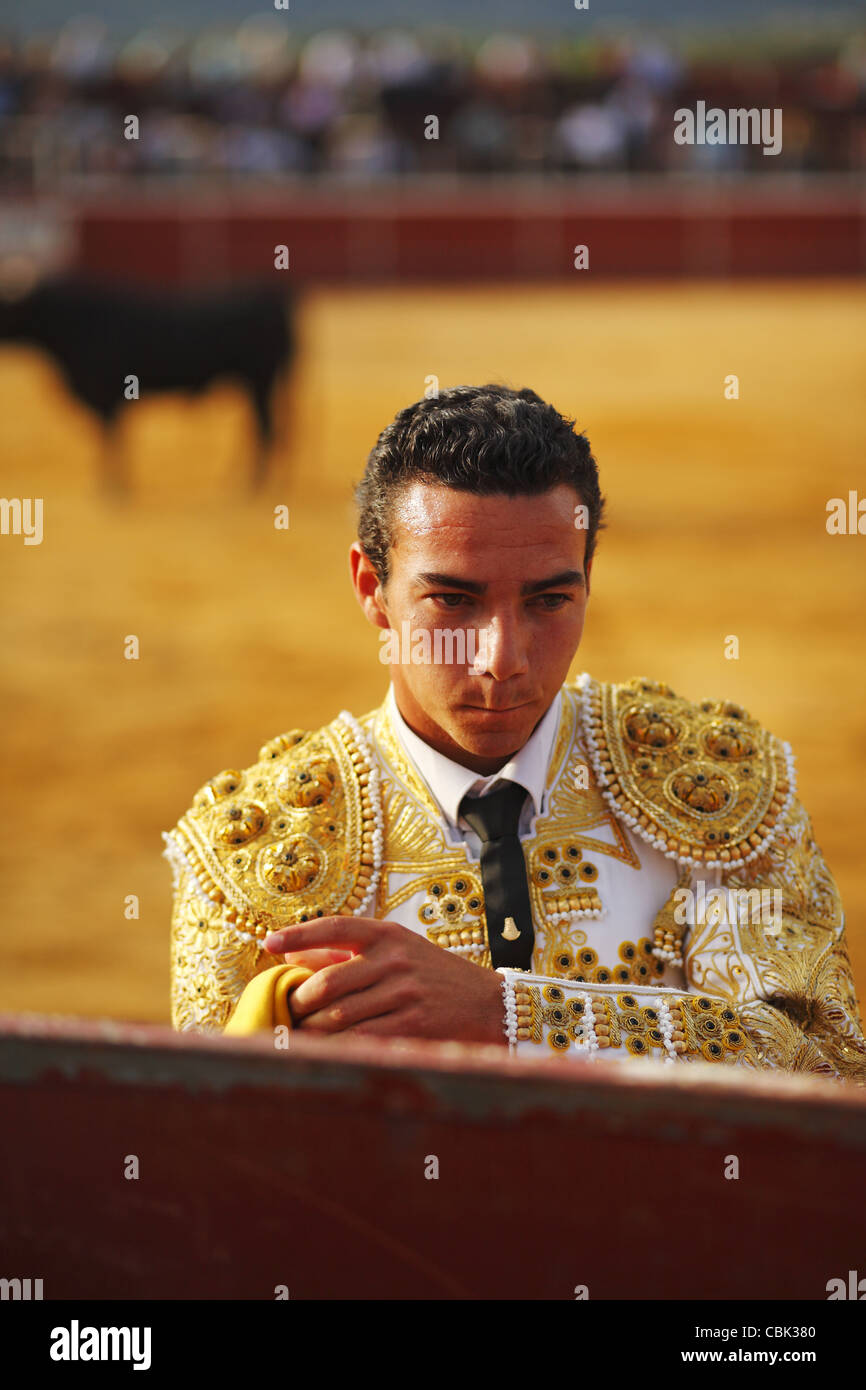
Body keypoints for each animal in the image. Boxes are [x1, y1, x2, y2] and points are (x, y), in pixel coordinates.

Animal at [0, 273, 297, 492]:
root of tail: (272, 298)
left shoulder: (107, 399)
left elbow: (111, 441)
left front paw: (112, 490)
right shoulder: (111, 403)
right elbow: (115, 440)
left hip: (260, 381)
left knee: (265, 430)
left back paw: (251, 487)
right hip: (254, 385)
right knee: (257, 429)